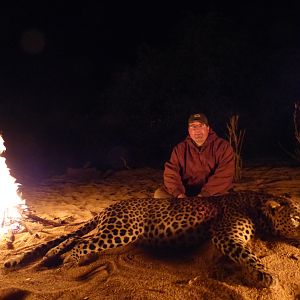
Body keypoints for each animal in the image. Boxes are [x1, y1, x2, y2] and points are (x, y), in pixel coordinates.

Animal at [2, 191, 300, 288]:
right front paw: (265, 275)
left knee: (71, 240)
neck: (256, 204)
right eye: (297, 216)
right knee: (80, 243)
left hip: (108, 229)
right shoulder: (226, 236)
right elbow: (247, 254)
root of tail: (108, 207)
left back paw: (54, 257)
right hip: (122, 230)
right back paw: (68, 264)